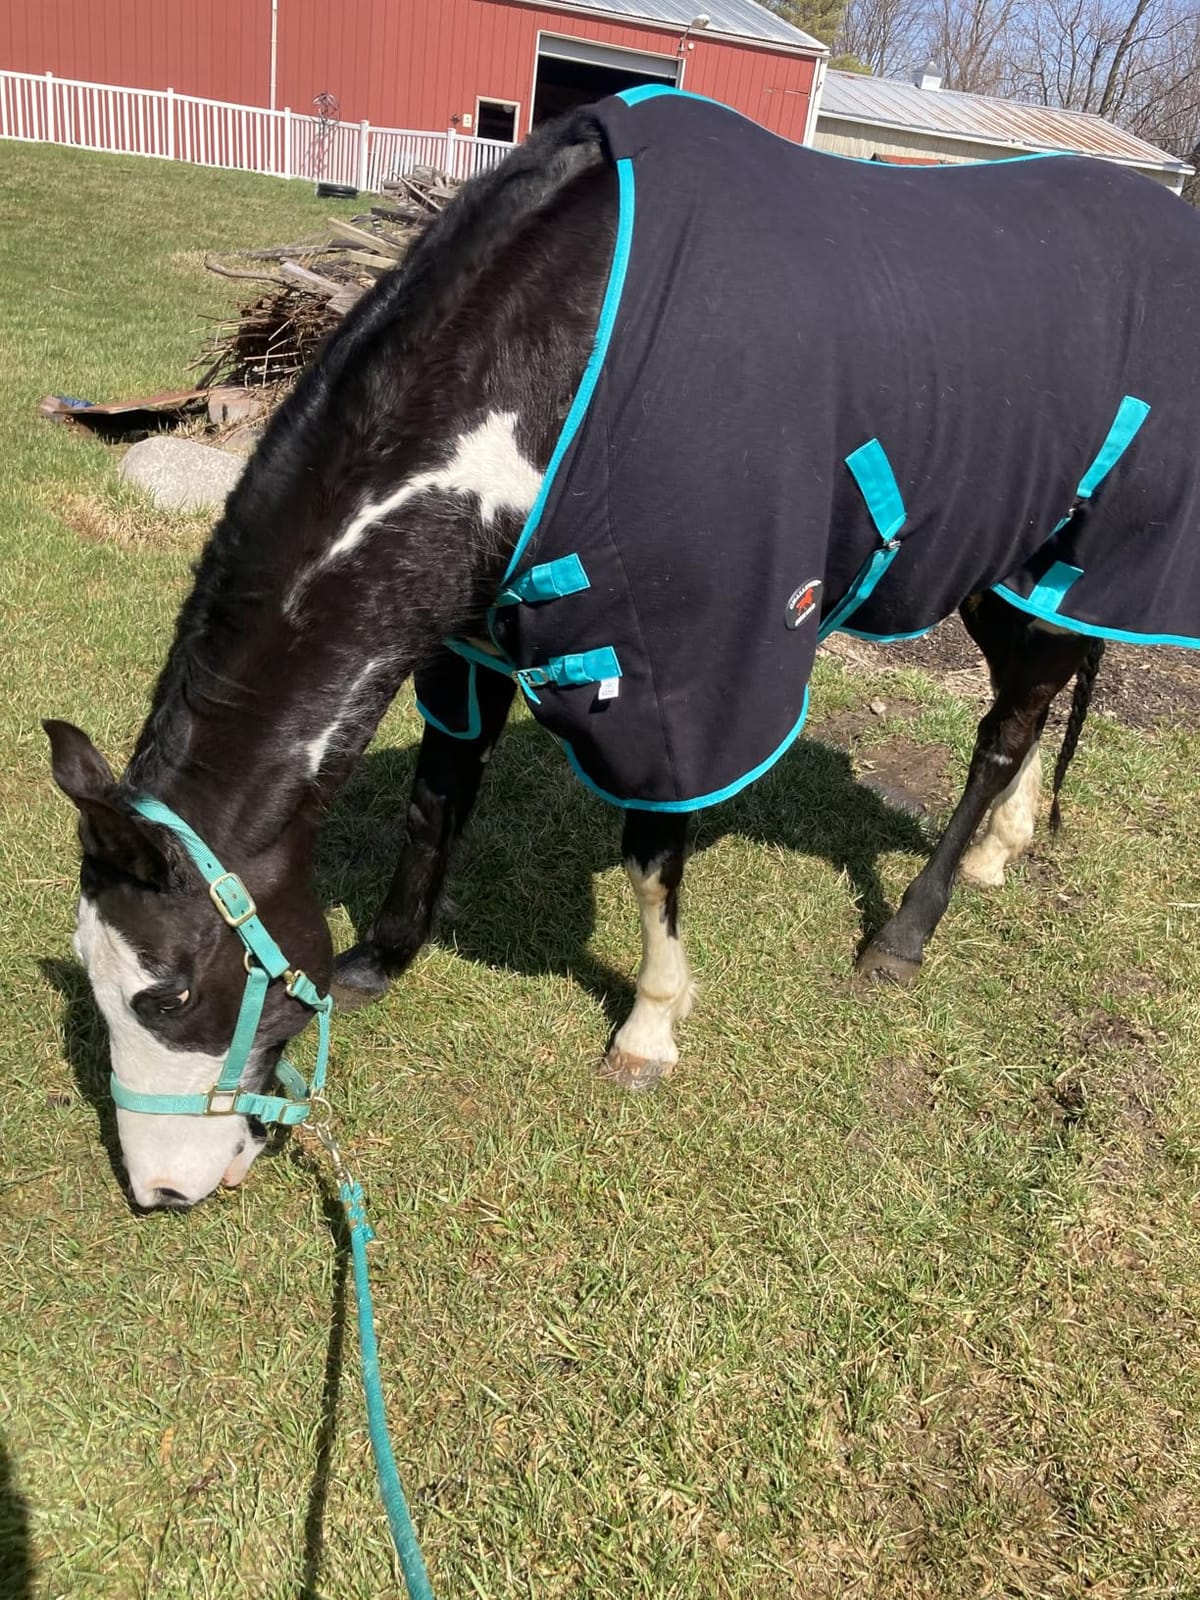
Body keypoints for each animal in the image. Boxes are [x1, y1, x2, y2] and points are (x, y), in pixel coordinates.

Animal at [45, 88, 1200, 1210]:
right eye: (96, 982)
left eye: (172, 989)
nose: (160, 1191)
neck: (558, 365)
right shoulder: (464, 648)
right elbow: (436, 798)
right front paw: (384, 957)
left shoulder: (683, 673)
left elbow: (652, 855)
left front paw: (649, 1029)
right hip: (1011, 570)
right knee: (1038, 698)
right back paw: (1005, 846)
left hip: (1065, 563)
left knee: (1007, 725)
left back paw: (905, 933)